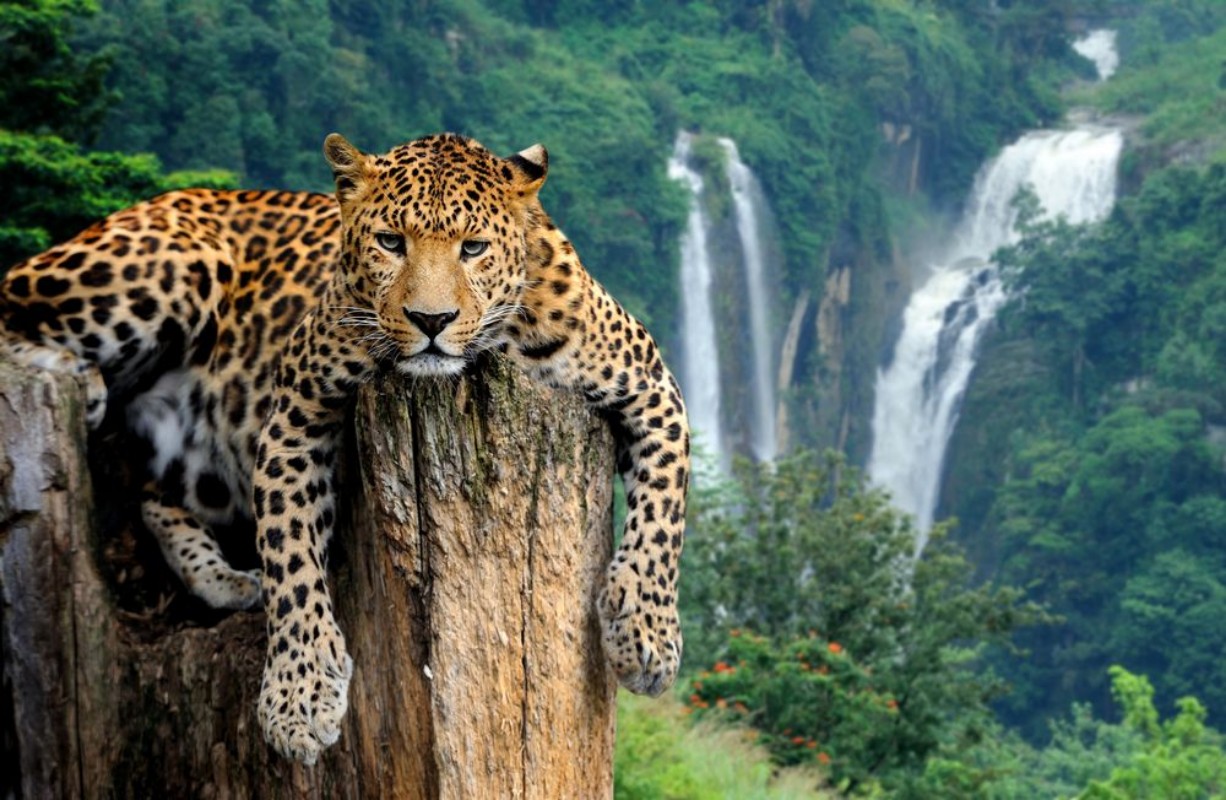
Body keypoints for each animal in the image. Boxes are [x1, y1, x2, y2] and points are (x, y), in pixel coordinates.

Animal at [0, 132, 690, 764]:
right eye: (390, 242)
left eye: (473, 248)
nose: (431, 321)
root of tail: (177, 195)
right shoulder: (295, 413)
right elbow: (290, 556)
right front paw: (299, 698)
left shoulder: (653, 387)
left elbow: (664, 515)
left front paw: (645, 636)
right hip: (168, 265)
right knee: (12, 306)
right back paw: (82, 381)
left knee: (153, 494)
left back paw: (226, 579)